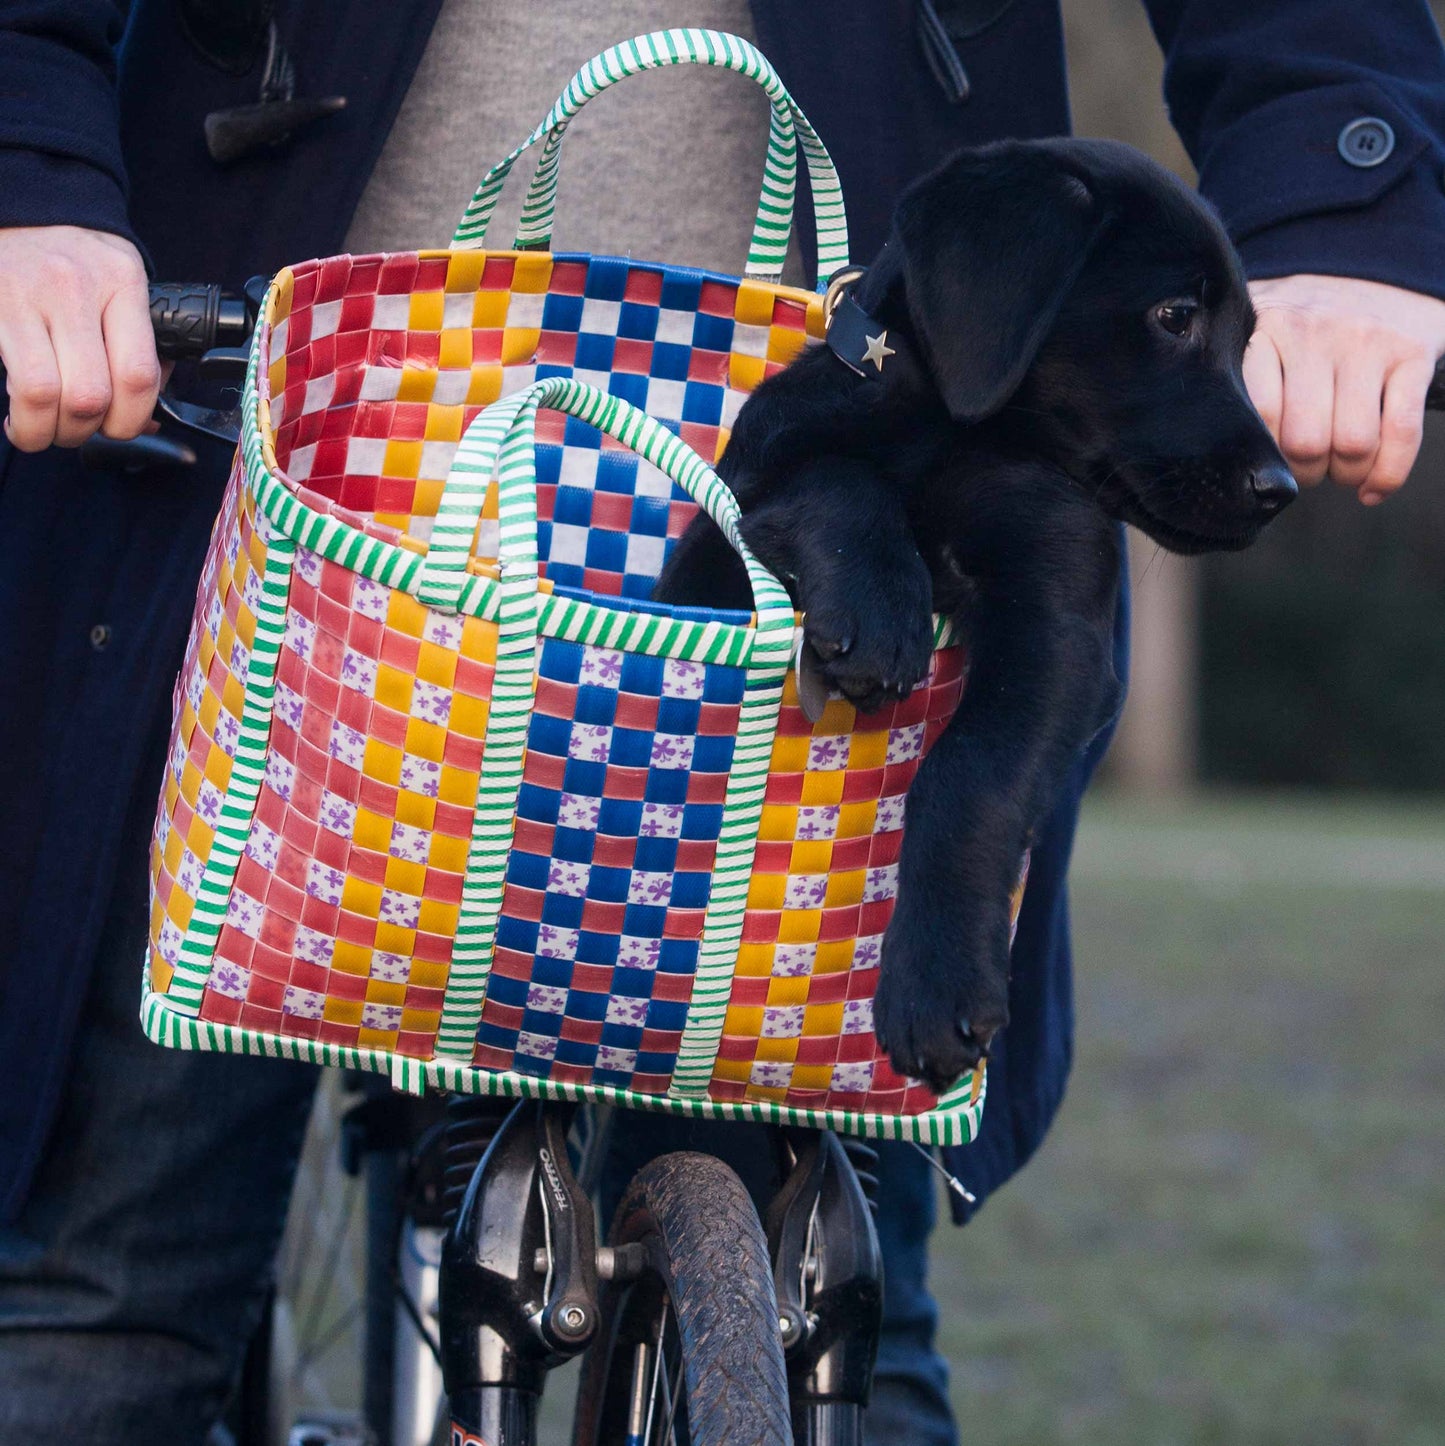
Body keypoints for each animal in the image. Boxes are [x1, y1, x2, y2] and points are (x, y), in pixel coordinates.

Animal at [650, 138, 1296, 1093]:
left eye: (1244, 341)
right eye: (1175, 316)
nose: (1280, 490)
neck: (958, 431)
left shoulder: (1055, 623)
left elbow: (970, 774)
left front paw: (936, 982)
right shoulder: (742, 516)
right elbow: (834, 477)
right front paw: (880, 602)